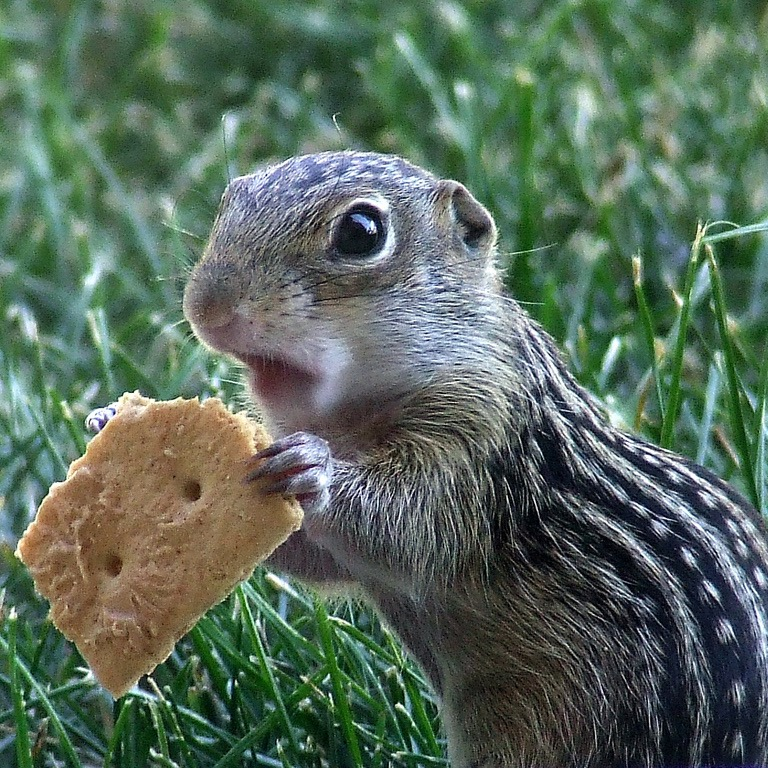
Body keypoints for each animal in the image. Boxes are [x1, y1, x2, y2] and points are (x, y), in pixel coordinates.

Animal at [182, 150, 768, 768]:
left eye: (361, 232)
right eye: (230, 199)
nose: (206, 307)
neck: (352, 417)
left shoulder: (476, 445)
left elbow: (409, 527)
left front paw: (316, 471)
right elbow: (321, 560)